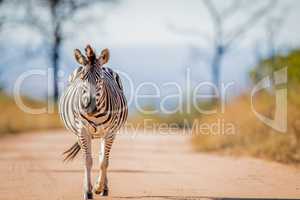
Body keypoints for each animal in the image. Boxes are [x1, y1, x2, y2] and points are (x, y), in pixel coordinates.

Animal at [58, 44, 127, 199]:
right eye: (82, 78)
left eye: (100, 79)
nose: (90, 107)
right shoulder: (82, 131)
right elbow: (87, 161)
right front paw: (88, 191)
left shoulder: (110, 132)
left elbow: (104, 162)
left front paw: (98, 187)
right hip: (81, 133)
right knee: (88, 156)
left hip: (105, 134)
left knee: (102, 156)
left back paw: (104, 187)